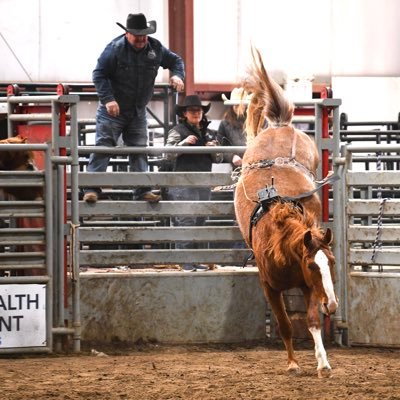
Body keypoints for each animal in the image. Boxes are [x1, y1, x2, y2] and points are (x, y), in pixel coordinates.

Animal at [234, 50, 338, 378]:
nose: (333, 305)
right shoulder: (270, 287)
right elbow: (283, 324)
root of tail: (280, 125)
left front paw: (323, 362)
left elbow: (313, 322)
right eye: (314, 265)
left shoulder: (308, 286)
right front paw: (293, 363)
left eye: (331, 263)